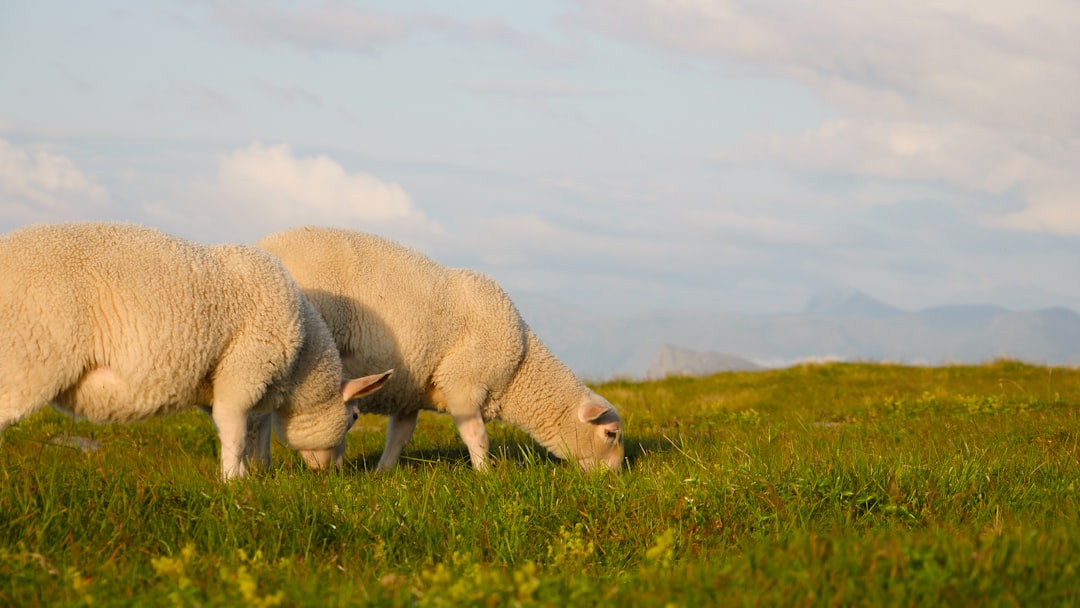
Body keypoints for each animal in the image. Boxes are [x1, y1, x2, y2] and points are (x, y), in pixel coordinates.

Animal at [0, 222, 395, 481]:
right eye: (355, 417)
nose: (335, 473)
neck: (303, 364)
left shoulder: (215, 382)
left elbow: (235, 430)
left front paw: (244, 473)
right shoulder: (243, 370)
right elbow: (235, 431)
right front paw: (234, 482)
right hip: (26, 358)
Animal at [257, 225, 626, 473]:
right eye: (611, 434)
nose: (615, 478)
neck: (519, 370)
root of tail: (262, 245)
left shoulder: (410, 391)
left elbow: (399, 438)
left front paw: (381, 473)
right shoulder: (463, 383)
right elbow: (477, 437)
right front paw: (485, 476)